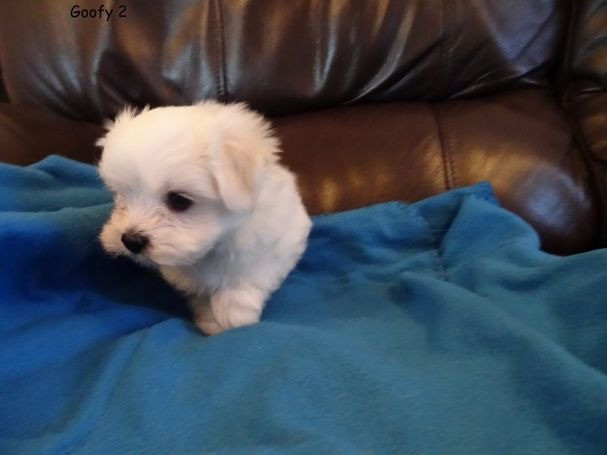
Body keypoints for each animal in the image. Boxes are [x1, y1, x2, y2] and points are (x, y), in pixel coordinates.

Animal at [98, 101, 314, 334]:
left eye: (179, 200)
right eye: (120, 194)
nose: (131, 241)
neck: (215, 244)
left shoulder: (276, 246)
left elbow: (249, 277)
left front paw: (232, 315)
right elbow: (199, 294)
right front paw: (210, 319)